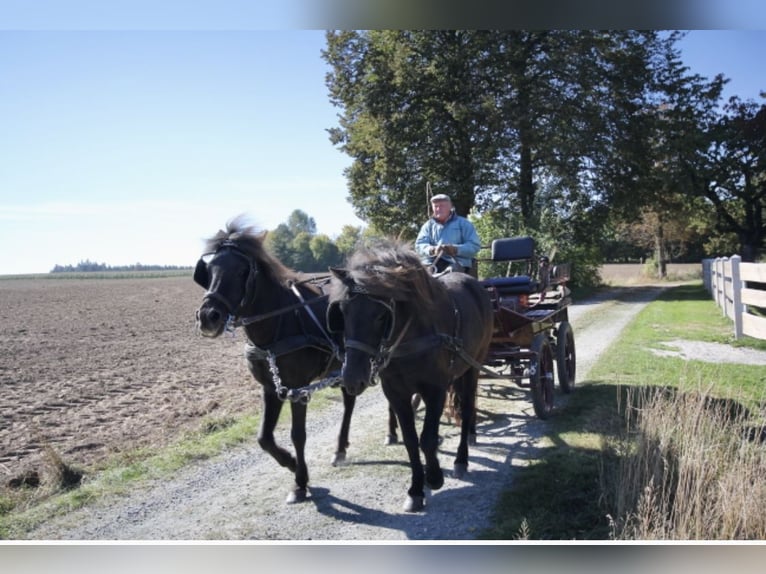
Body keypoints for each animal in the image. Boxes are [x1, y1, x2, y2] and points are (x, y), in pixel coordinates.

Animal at [194, 218, 358, 506]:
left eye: (241, 271)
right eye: (209, 269)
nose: (208, 317)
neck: (280, 322)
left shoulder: (298, 389)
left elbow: (298, 435)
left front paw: (300, 483)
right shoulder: (271, 388)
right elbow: (264, 438)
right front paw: (291, 463)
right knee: (349, 402)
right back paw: (341, 449)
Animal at [328, 238, 496, 512]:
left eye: (381, 315)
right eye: (342, 312)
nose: (351, 378)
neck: (410, 338)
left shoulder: (435, 390)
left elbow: (426, 439)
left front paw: (435, 477)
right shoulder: (397, 394)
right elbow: (410, 440)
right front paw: (416, 489)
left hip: (473, 366)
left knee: (468, 408)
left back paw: (462, 458)